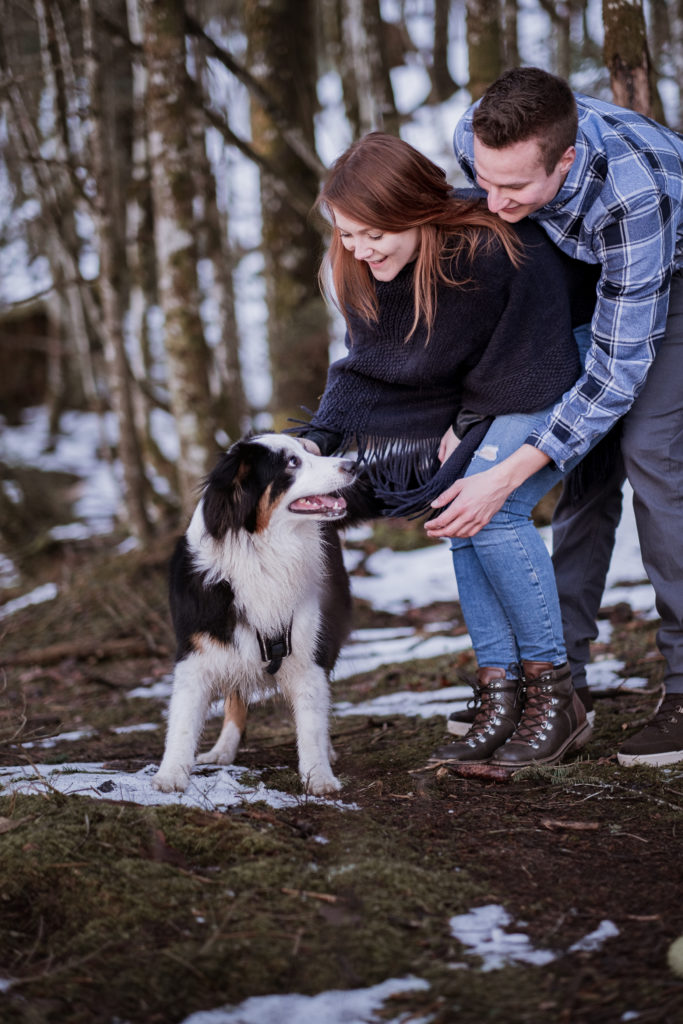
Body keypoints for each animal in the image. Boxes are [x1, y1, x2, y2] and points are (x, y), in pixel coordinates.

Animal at [153, 436, 358, 794]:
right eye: (292, 462)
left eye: (309, 451)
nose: (353, 465)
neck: (263, 552)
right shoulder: (196, 652)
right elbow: (183, 720)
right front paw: (171, 774)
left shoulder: (309, 652)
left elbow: (312, 721)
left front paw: (319, 776)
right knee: (235, 696)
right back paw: (223, 749)